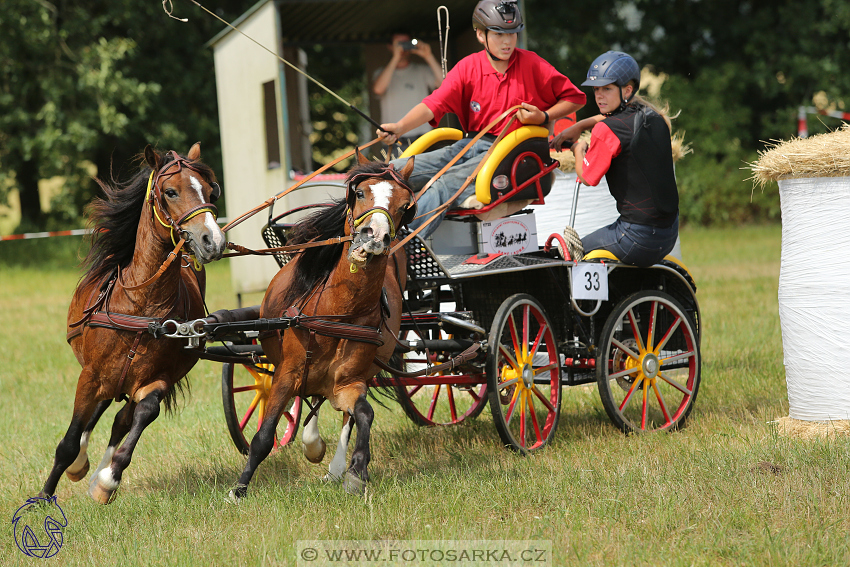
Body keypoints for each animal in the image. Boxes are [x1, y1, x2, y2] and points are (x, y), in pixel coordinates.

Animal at [38, 144, 225, 504]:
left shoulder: (157, 379)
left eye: (211, 191)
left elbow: (140, 416)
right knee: (97, 411)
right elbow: (69, 441)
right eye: (170, 192)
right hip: (103, 375)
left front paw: (108, 480)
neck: (142, 304)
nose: (212, 241)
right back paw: (80, 465)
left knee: (121, 419)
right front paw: (42, 498)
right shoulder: (90, 375)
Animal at [230, 152, 416, 502]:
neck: (339, 314)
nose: (374, 236)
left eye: (404, 205)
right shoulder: (287, 372)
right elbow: (263, 435)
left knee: (345, 414)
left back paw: (335, 464)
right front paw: (239, 489)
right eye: (360, 193)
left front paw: (356, 471)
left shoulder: (350, 381)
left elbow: (364, 414)